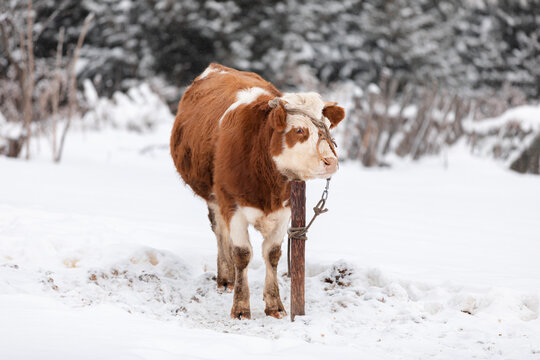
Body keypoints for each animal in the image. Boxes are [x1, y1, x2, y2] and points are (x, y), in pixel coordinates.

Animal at [171, 63, 344, 320]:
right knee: (220, 232)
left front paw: (275, 304)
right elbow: (242, 253)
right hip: (215, 198)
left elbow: (272, 254)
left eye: (327, 126)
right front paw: (240, 307)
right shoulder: (233, 206)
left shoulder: (285, 210)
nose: (330, 161)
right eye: (299, 130)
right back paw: (226, 278)